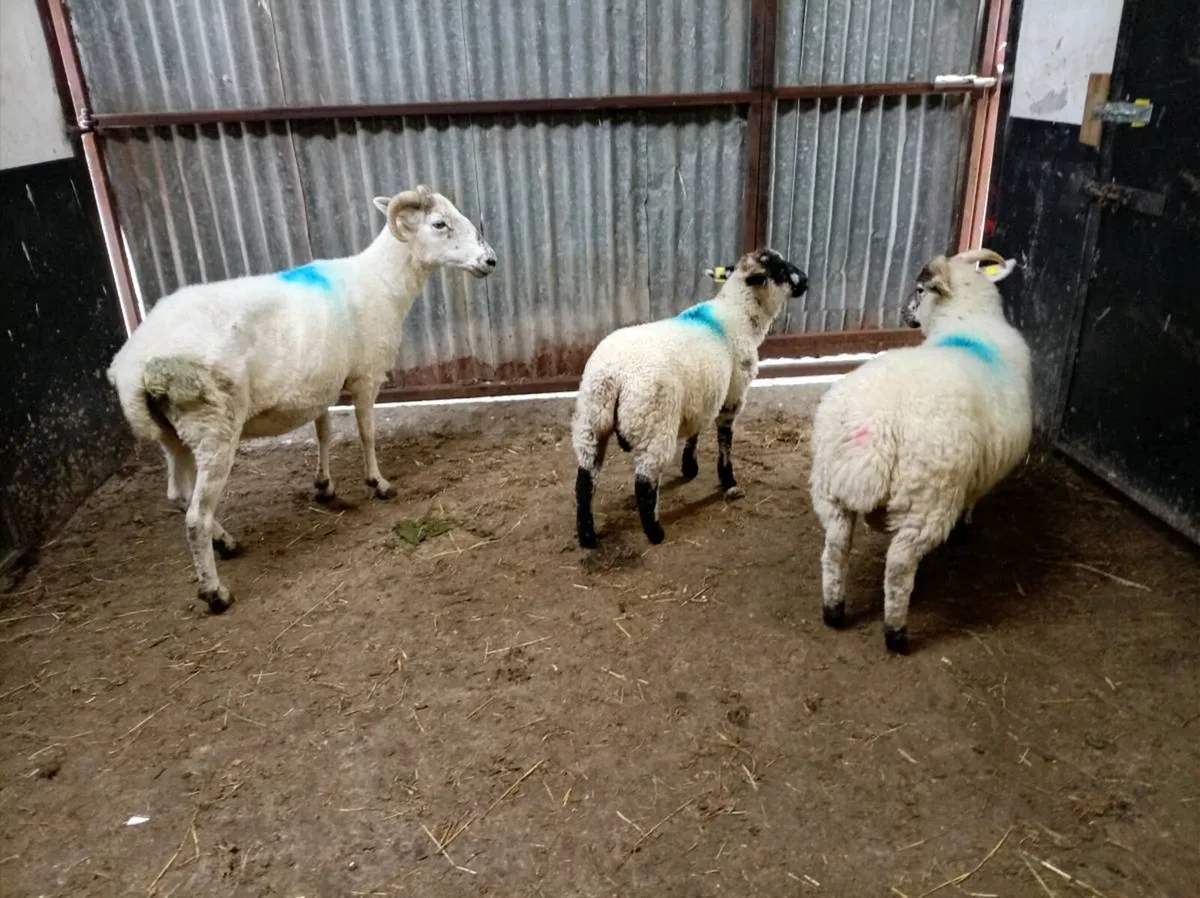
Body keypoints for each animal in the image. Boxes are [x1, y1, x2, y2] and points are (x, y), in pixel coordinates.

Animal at [107, 185, 497, 613]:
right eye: (439, 224)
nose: (490, 261)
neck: (382, 281)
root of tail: (133, 368)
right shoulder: (365, 376)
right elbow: (367, 435)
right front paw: (378, 483)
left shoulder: (321, 385)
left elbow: (325, 433)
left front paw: (324, 485)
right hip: (213, 424)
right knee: (196, 515)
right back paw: (215, 591)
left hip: (173, 432)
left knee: (180, 495)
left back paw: (225, 542)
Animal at [573, 248, 808, 548]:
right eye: (780, 269)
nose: (806, 280)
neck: (739, 313)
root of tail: (614, 375)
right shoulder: (732, 394)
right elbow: (724, 440)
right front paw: (727, 478)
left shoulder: (703, 395)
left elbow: (696, 431)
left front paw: (690, 467)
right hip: (653, 423)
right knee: (644, 482)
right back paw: (654, 532)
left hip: (591, 421)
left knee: (585, 480)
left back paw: (587, 536)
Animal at [809, 248, 1031, 654]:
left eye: (918, 289)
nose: (904, 314)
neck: (967, 321)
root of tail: (876, 429)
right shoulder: (978, 477)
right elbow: (973, 502)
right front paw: (964, 529)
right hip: (927, 501)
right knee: (898, 568)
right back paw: (896, 634)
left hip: (830, 491)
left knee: (835, 551)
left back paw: (834, 611)